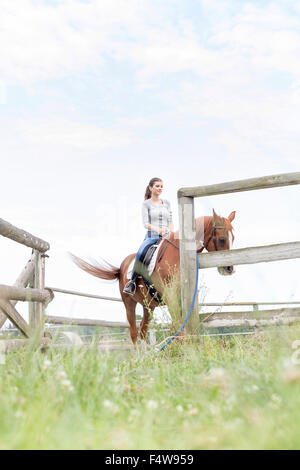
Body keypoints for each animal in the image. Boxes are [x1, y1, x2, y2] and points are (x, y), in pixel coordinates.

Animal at [71, 209, 236, 346]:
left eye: (233, 238)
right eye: (222, 239)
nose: (229, 268)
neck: (178, 253)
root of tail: (122, 266)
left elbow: (178, 324)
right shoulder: (170, 295)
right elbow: (177, 323)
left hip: (147, 306)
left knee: (143, 330)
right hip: (129, 302)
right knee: (134, 332)